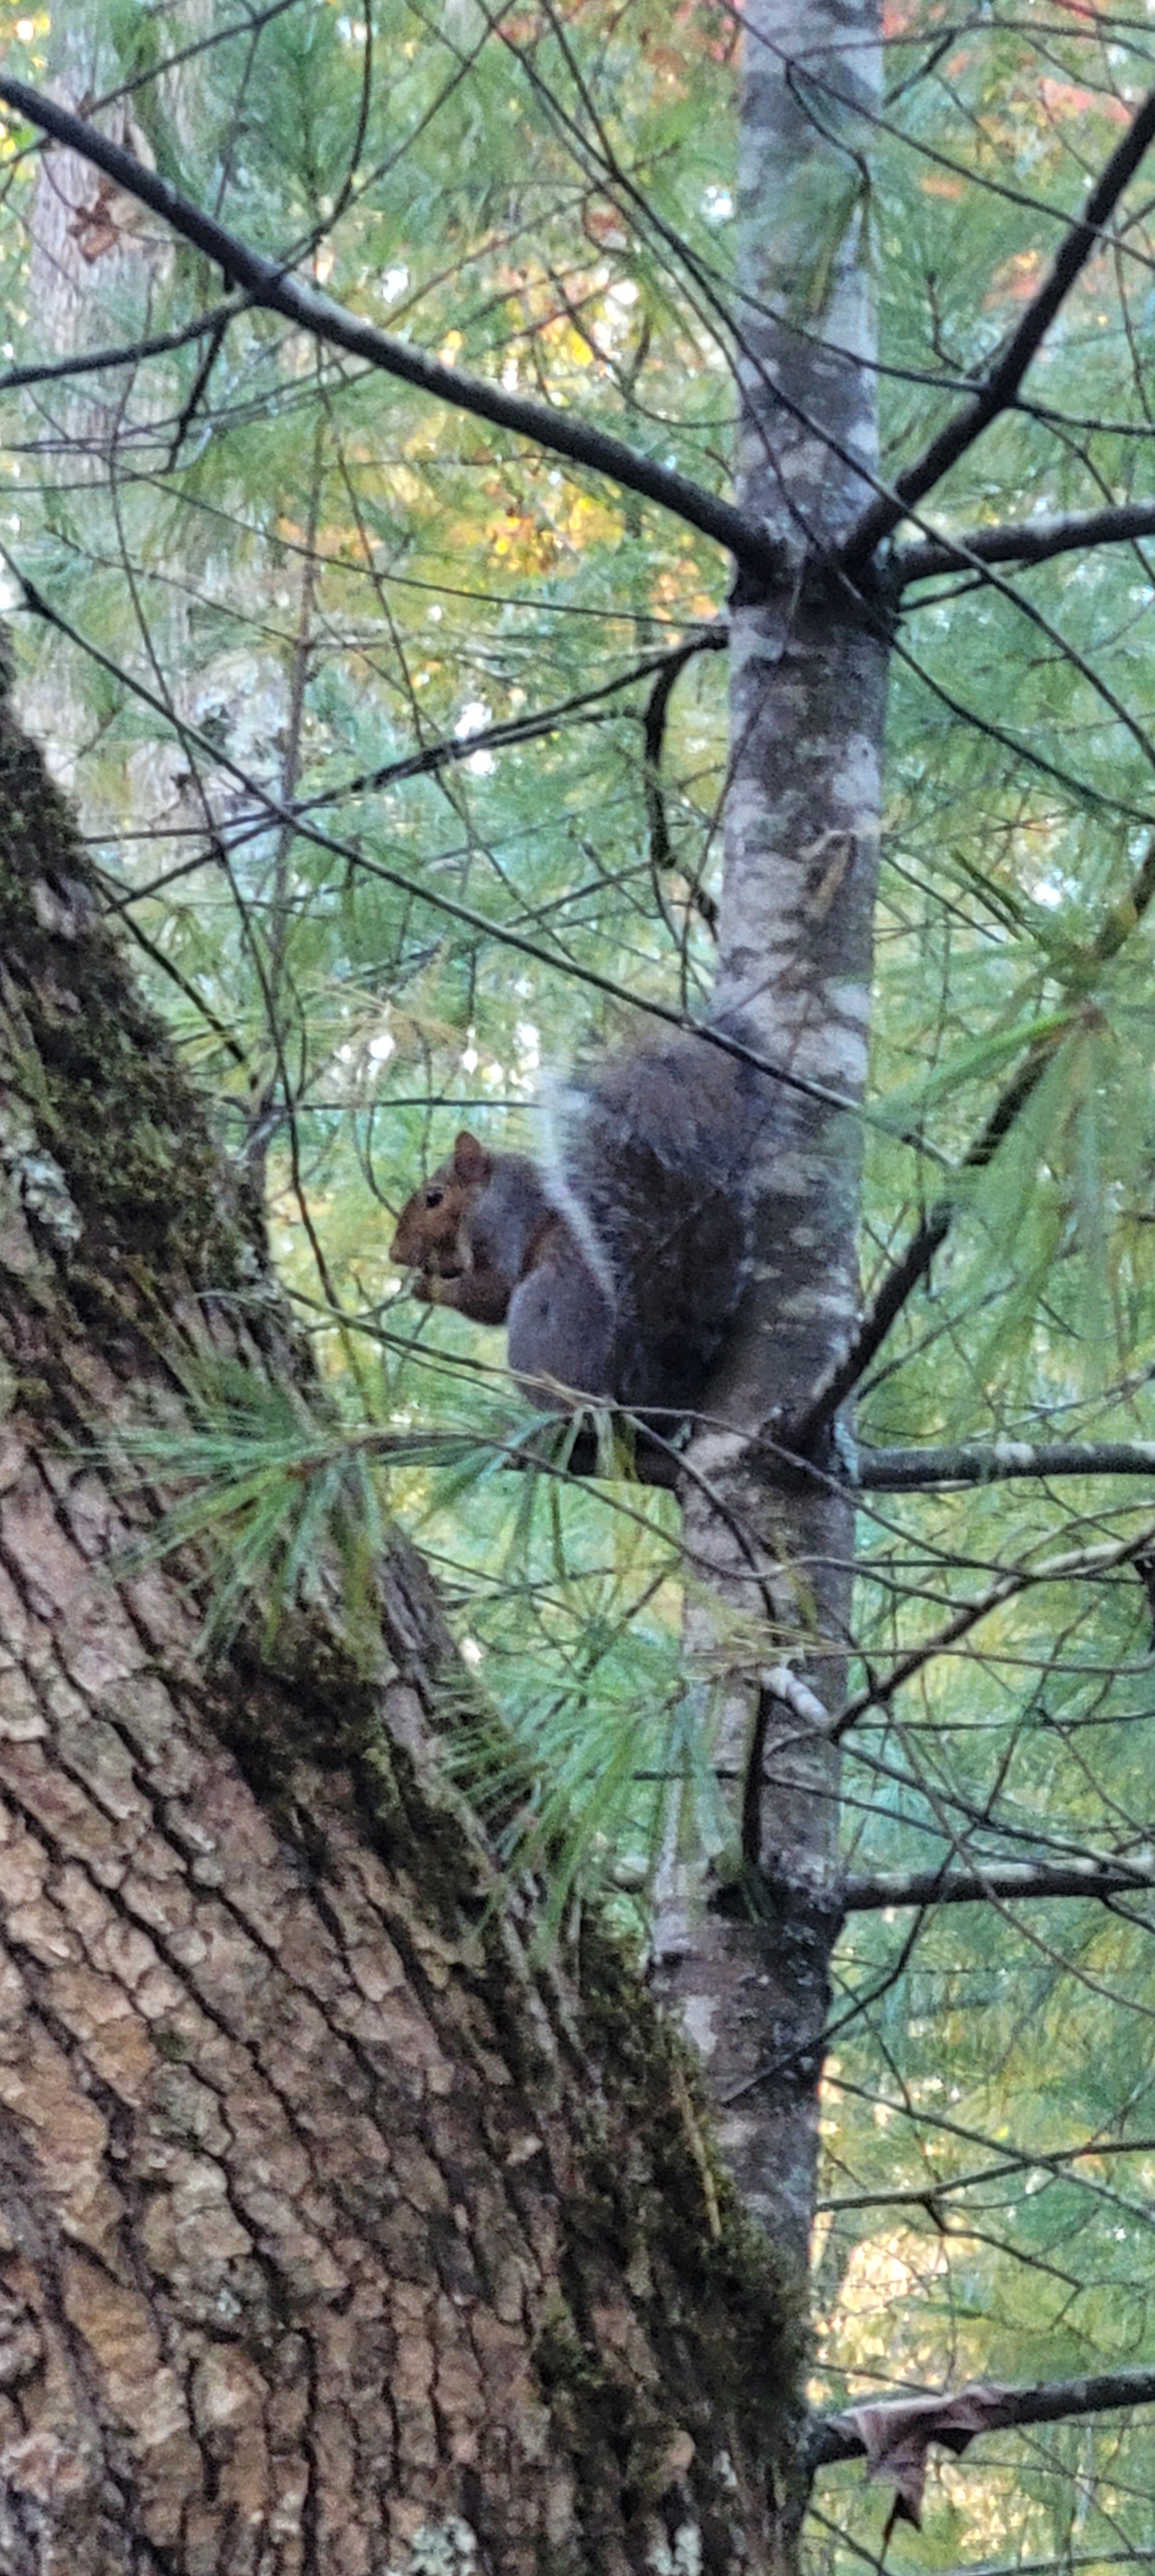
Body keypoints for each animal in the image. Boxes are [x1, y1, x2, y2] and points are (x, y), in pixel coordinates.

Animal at [389, 1022, 770, 1429]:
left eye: (433, 1198)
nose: (395, 1254)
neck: (486, 1192)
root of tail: (638, 1387)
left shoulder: (500, 1222)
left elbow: (492, 1292)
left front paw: (428, 1288)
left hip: (540, 1316)